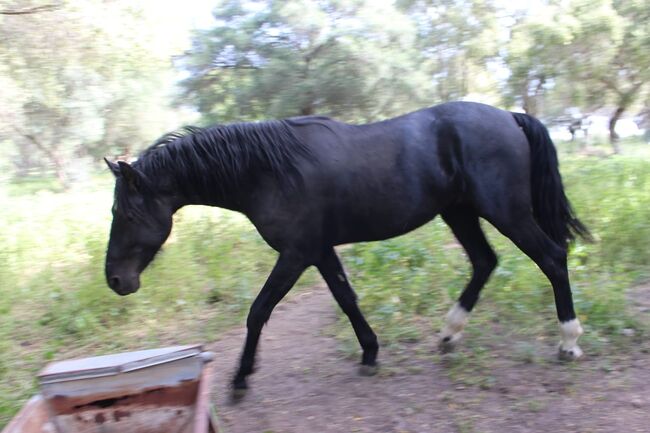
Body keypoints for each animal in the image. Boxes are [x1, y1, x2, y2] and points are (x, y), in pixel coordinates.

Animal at [105, 100, 588, 394]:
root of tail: (510, 116)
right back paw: (449, 334)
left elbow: (259, 310)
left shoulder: (297, 253)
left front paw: (240, 378)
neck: (270, 171)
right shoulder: (319, 252)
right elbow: (346, 298)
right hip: (461, 213)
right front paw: (370, 352)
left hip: (505, 212)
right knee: (485, 262)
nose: (115, 280)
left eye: (125, 214)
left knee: (552, 258)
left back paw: (568, 342)